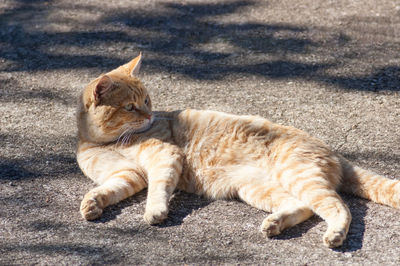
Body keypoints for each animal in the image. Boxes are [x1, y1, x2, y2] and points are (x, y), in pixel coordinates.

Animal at [76, 53, 400, 247]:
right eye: (130, 107)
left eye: (147, 101)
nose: (149, 116)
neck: (107, 141)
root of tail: (333, 152)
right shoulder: (128, 174)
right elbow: (108, 189)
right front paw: (92, 203)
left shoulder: (164, 158)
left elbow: (158, 188)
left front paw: (155, 210)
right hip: (256, 188)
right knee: (304, 207)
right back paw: (275, 223)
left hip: (299, 177)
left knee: (339, 207)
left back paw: (334, 235)